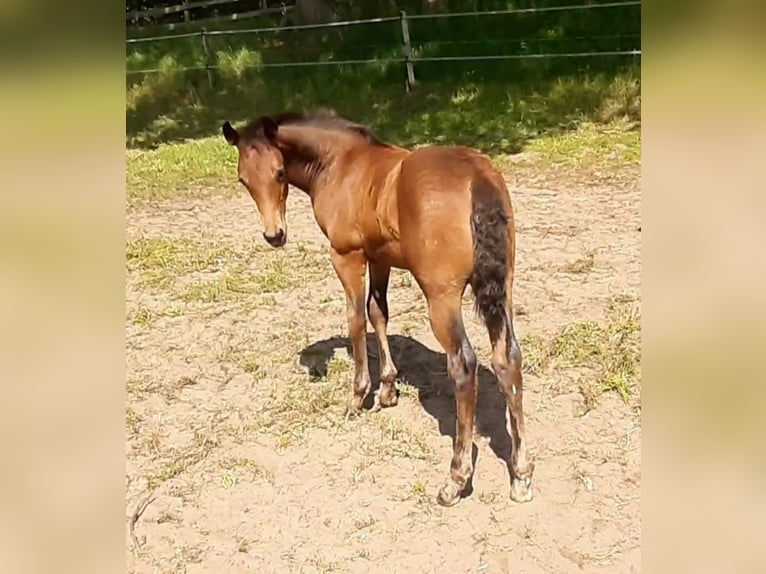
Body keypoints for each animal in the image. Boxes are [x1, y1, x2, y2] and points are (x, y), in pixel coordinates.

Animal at [221, 110, 533, 507]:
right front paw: (387, 389)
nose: (274, 235)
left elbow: (356, 319)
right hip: (502, 288)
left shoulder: (347, 255)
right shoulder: (379, 257)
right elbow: (378, 312)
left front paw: (358, 397)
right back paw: (521, 475)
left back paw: (455, 479)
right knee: (508, 359)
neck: (340, 164)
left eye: (279, 173)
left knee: (464, 367)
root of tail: (476, 176)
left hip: (441, 297)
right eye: (243, 180)